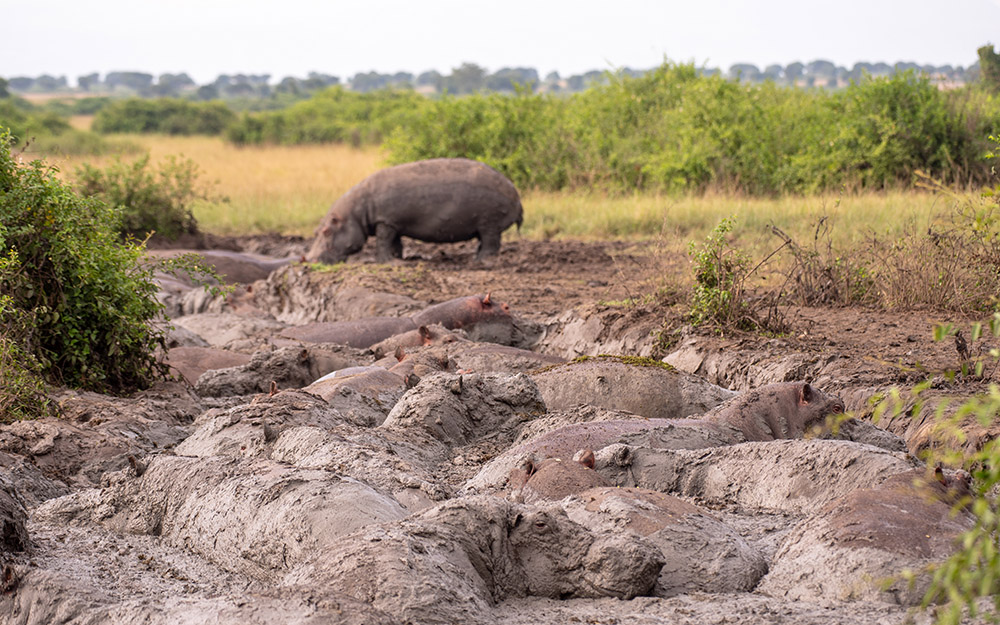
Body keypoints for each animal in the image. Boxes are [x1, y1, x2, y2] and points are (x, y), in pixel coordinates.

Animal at [306, 158, 523, 263]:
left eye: (326, 231)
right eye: (316, 231)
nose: (307, 259)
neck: (356, 213)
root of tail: (516, 194)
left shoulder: (385, 221)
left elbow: (382, 242)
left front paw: (388, 263)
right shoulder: (391, 222)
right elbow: (394, 243)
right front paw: (397, 259)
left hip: (490, 222)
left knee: (491, 242)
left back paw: (481, 262)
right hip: (484, 224)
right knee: (484, 241)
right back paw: (476, 259)